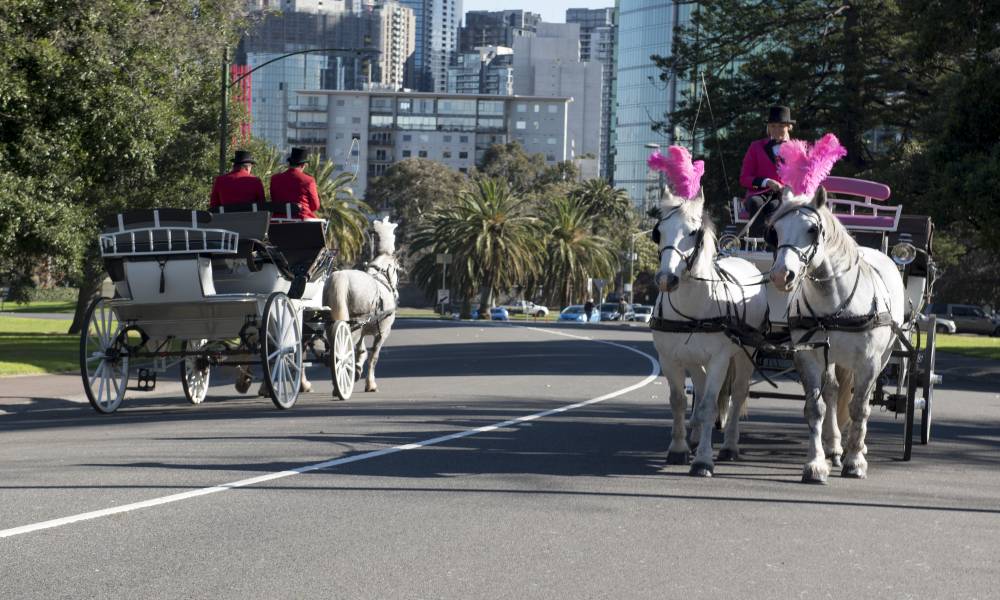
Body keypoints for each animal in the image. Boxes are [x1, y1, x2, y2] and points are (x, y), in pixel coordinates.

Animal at [322, 216, 396, 394]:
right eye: (397, 268)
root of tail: (340, 277)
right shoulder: (382, 332)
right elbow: (373, 357)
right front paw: (370, 384)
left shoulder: (362, 329)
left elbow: (362, 351)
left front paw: (357, 370)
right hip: (352, 326)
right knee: (341, 352)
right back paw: (339, 387)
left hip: (333, 324)